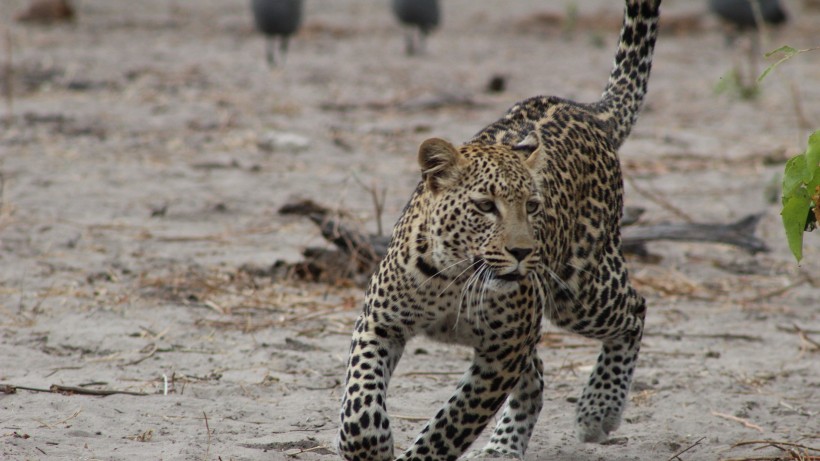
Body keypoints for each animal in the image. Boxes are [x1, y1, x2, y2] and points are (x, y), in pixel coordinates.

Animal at [336, 1, 664, 458]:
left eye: (532, 206)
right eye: (485, 206)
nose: (523, 253)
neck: (453, 278)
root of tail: (586, 110)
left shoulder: (502, 353)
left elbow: (450, 424)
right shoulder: (379, 323)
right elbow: (359, 400)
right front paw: (370, 444)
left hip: (580, 289)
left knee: (635, 309)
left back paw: (599, 409)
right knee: (538, 372)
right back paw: (505, 446)